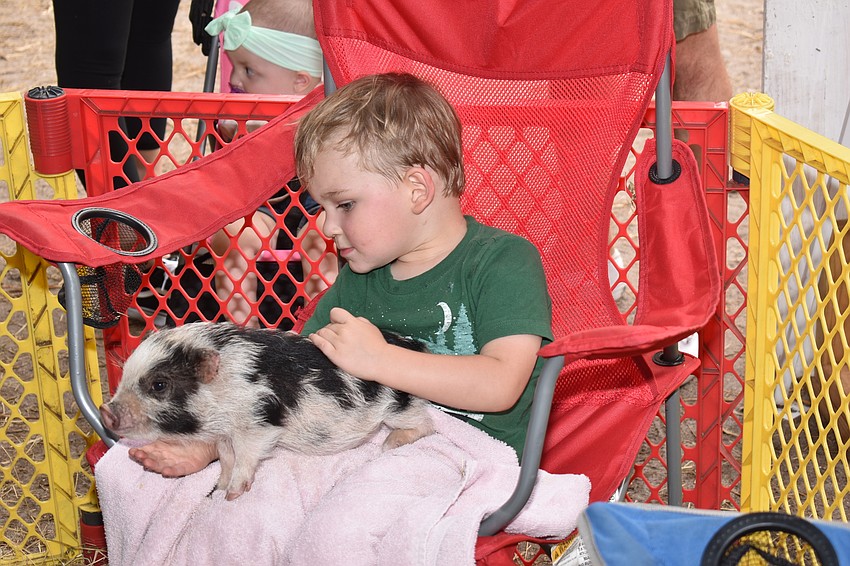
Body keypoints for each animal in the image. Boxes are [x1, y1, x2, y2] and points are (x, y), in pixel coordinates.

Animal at [99, 322, 434, 500]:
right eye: (125, 373)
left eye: (159, 385)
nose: (106, 411)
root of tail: (413, 346)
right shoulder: (226, 435)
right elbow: (226, 459)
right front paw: (218, 488)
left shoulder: (256, 424)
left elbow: (246, 458)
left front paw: (232, 495)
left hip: (398, 406)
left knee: (426, 424)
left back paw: (390, 444)